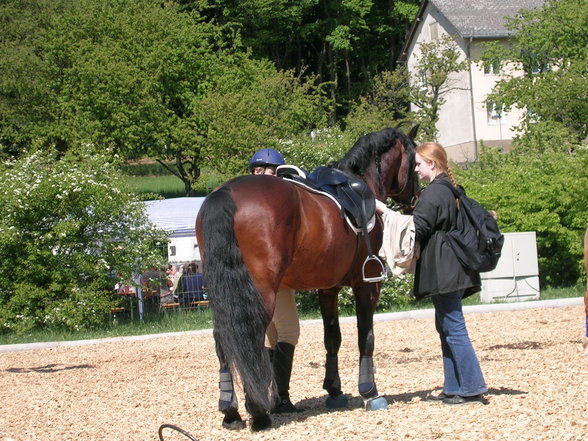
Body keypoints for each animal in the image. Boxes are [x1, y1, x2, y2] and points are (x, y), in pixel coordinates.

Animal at [196, 127, 418, 430]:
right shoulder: (367, 285)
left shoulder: (329, 288)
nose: (416, 198)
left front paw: (334, 391)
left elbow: (332, 338)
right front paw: (369, 392)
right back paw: (258, 411)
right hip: (259, 294)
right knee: (248, 336)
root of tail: (227, 192)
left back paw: (231, 410)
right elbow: (366, 336)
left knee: (223, 338)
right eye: (415, 161)